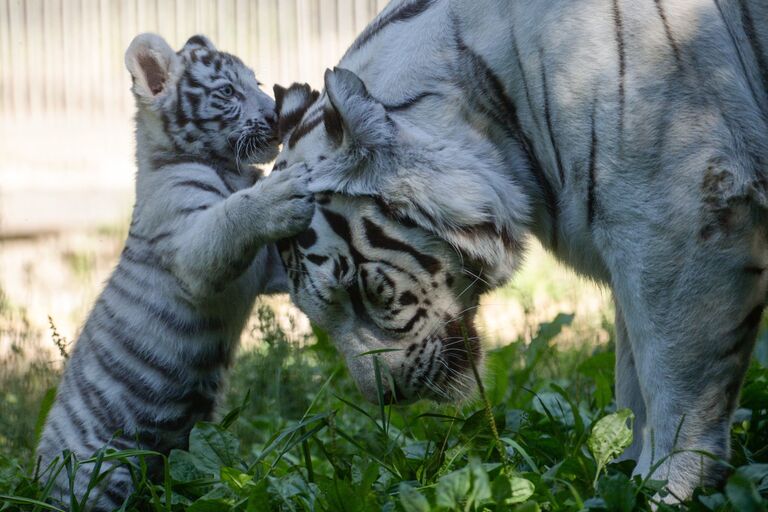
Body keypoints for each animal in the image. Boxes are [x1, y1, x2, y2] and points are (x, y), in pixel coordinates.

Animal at [36, 34, 312, 510]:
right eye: (226, 92)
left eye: (256, 82)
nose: (275, 116)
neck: (229, 169)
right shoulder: (190, 249)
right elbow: (231, 217)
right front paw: (280, 193)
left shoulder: (265, 269)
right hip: (103, 472)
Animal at [272, 0, 768, 502]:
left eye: (358, 288)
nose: (385, 397)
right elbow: (632, 382)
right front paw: (617, 475)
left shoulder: (675, 215)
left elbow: (671, 379)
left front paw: (664, 488)